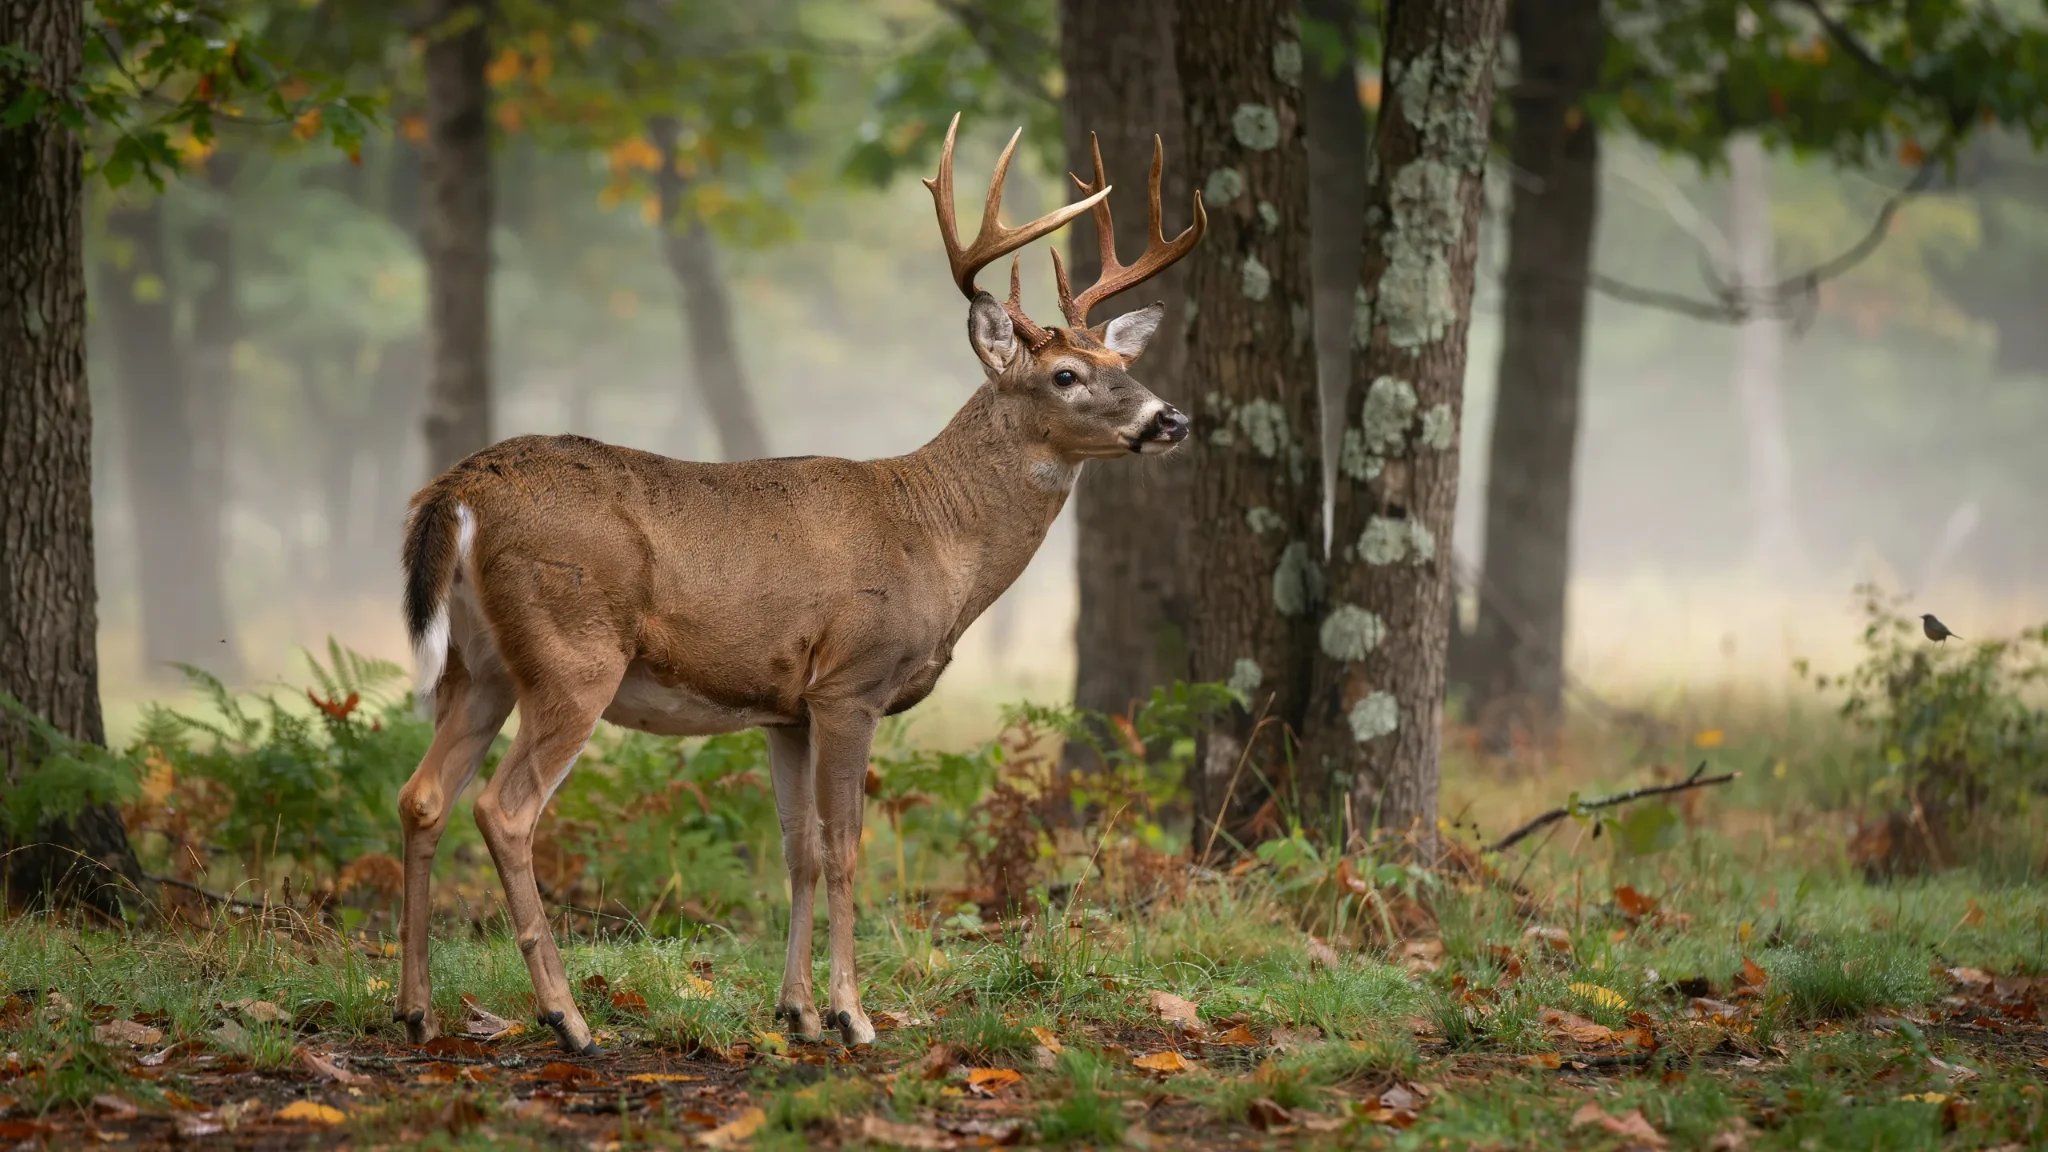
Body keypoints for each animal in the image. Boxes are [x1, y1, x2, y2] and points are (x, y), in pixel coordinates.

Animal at [391, 112, 1206, 1053]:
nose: (1171, 418)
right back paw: (568, 1017)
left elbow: (799, 850)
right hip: (571, 654)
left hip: (479, 664)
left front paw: (799, 1011)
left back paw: (414, 1009)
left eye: (1121, 363)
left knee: (422, 796)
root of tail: (458, 489)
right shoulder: (851, 681)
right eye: (1065, 375)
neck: (936, 537)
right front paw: (854, 1015)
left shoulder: (785, 706)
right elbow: (847, 846)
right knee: (504, 808)